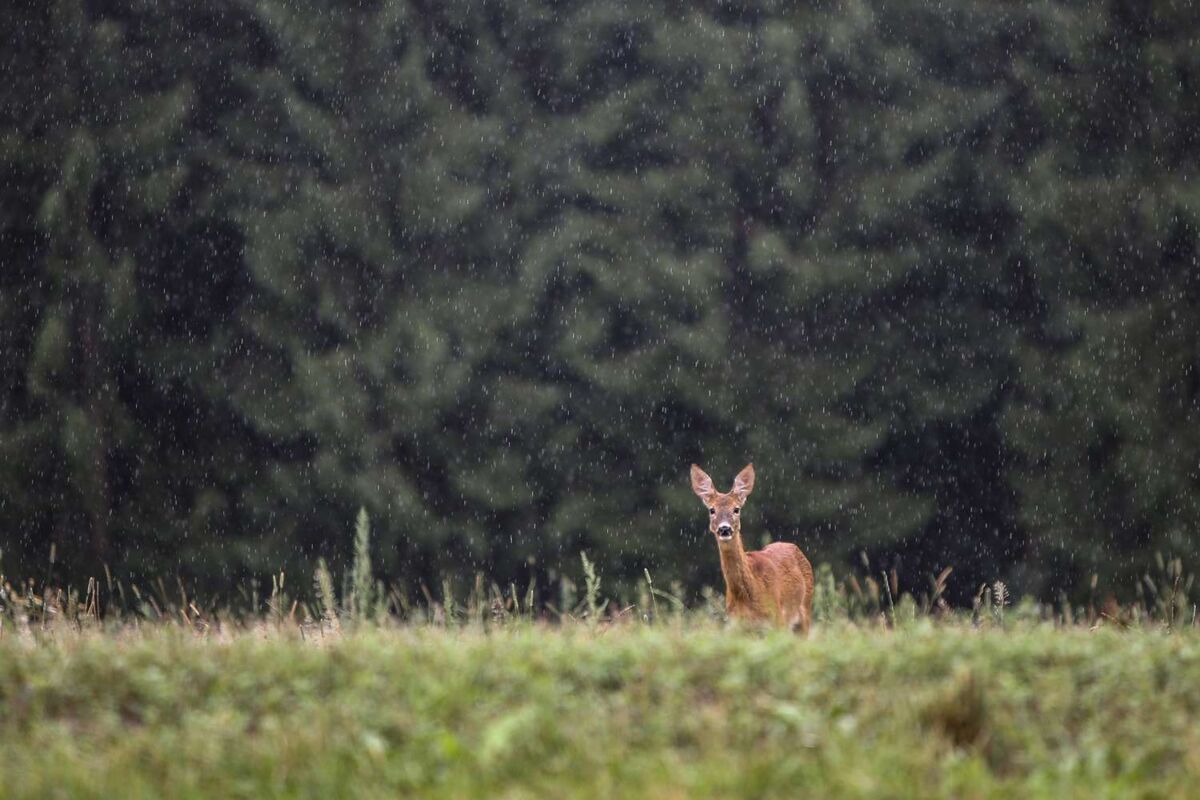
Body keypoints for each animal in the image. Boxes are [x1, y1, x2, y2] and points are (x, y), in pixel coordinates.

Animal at [690, 463, 813, 633]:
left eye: (736, 509)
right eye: (712, 510)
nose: (724, 529)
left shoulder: (777, 619)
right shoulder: (736, 624)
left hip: (804, 611)